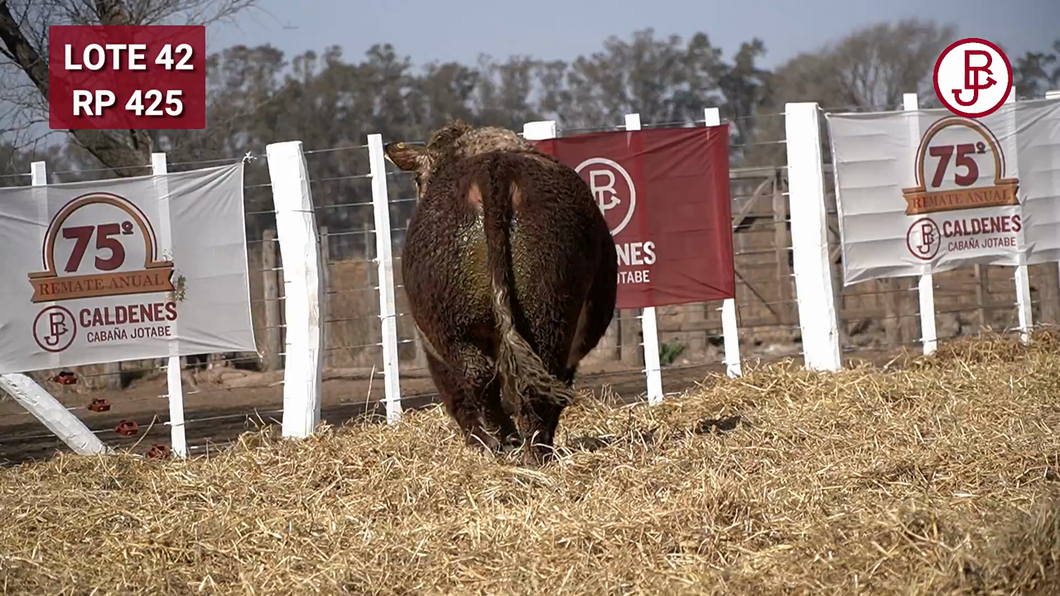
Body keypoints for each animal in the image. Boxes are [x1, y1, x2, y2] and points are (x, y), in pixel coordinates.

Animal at [383, 120, 619, 462]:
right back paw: (529, 448)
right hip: (543, 314)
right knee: (529, 382)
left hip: (458, 327)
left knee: (483, 382)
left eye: (418, 179)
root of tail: (493, 171)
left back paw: (513, 445)